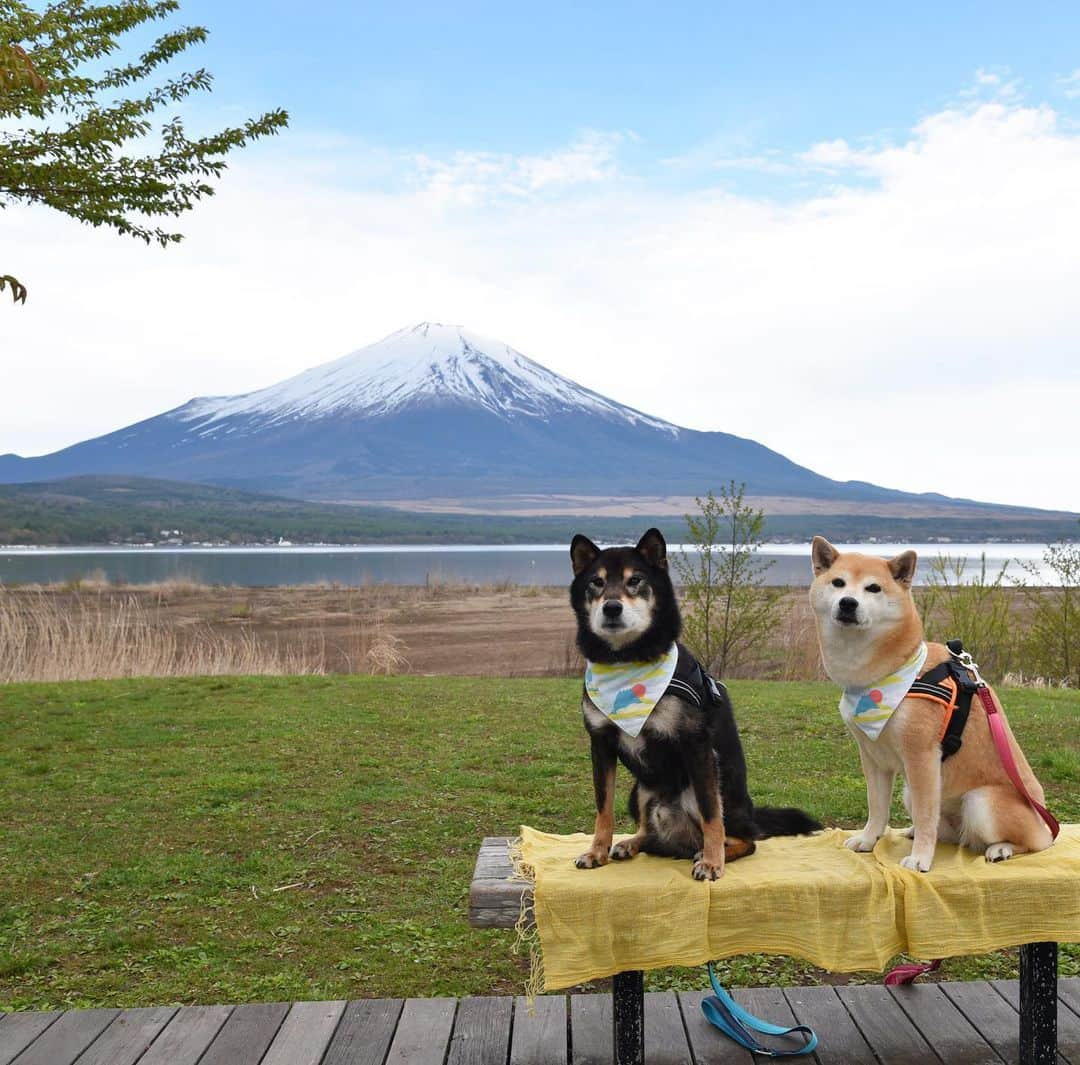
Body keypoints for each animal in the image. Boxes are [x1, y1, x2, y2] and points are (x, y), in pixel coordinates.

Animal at [570, 524, 812, 881]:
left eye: (635, 580)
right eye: (596, 582)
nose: (611, 607)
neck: (626, 660)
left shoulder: (696, 745)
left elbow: (712, 817)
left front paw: (712, 862)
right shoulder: (600, 744)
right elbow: (604, 808)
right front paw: (596, 851)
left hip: (712, 792)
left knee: (744, 839)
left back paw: (713, 852)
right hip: (641, 789)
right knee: (648, 830)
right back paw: (630, 843)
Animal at [812, 535, 1054, 868]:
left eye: (873, 588)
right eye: (838, 582)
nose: (848, 602)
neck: (887, 674)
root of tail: (1044, 823)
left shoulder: (922, 758)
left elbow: (926, 815)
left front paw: (920, 859)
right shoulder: (873, 758)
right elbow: (877, 808)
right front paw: (868, 840)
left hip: (981, 802)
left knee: (1031, 844)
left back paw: (1001, 848)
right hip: (913, 794)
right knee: (947, 831)